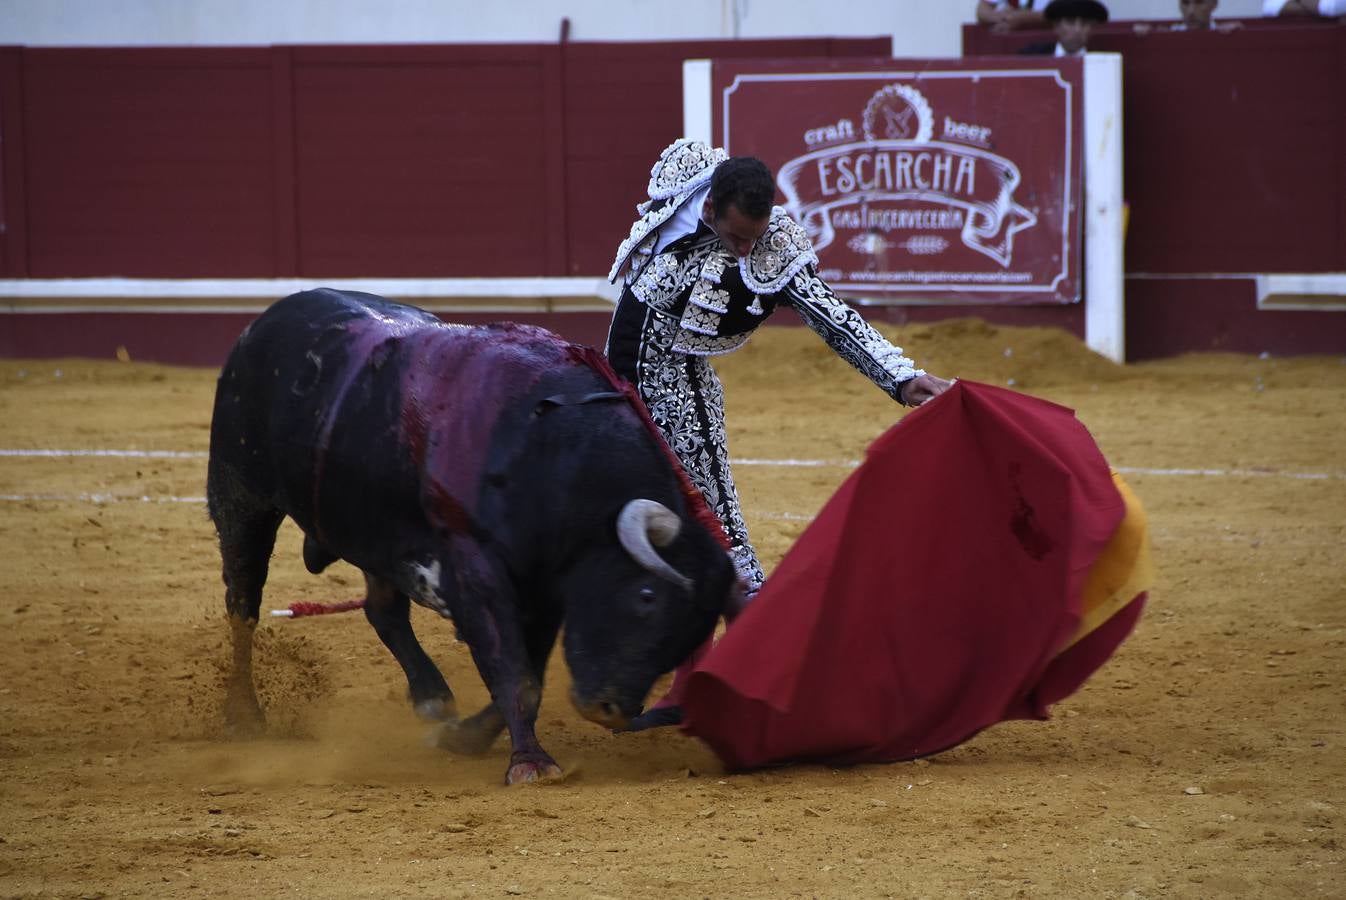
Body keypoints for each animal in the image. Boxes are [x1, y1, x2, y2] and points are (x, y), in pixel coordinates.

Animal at [208, 287, 737, 780]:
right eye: (647, 596)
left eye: (696, 631)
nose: (611, 710)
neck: (554, 452)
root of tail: (266, 321)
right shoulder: (477, 566)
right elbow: (515, 674)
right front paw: (530, 764)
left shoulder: (545, 587)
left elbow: (528, 673)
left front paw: (464, 738)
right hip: (241, 497)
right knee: (243, 605)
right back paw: (244, 718)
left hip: (372, 529)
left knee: (383, 611)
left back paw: (432, 697)